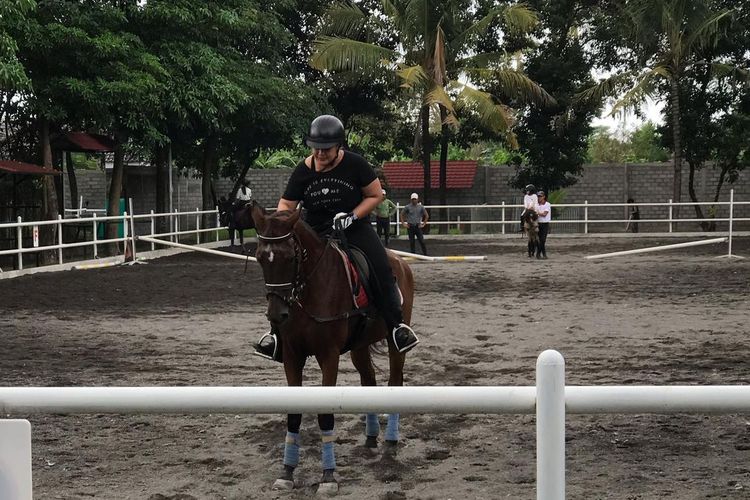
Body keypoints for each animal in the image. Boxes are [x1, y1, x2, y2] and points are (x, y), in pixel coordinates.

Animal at [251, 201, 418, 494]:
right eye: (261, 258)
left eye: (289, 258)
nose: (277, 314)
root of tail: (399, 261)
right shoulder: (292, 357)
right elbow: (293, 414)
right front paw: (287, 472)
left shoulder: (328, 356)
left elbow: (325, 414)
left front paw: (328, 476)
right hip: (359, 346)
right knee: (369, 381)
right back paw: (371, 438)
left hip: (395, 343)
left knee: (394, 381)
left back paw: (390, 441)